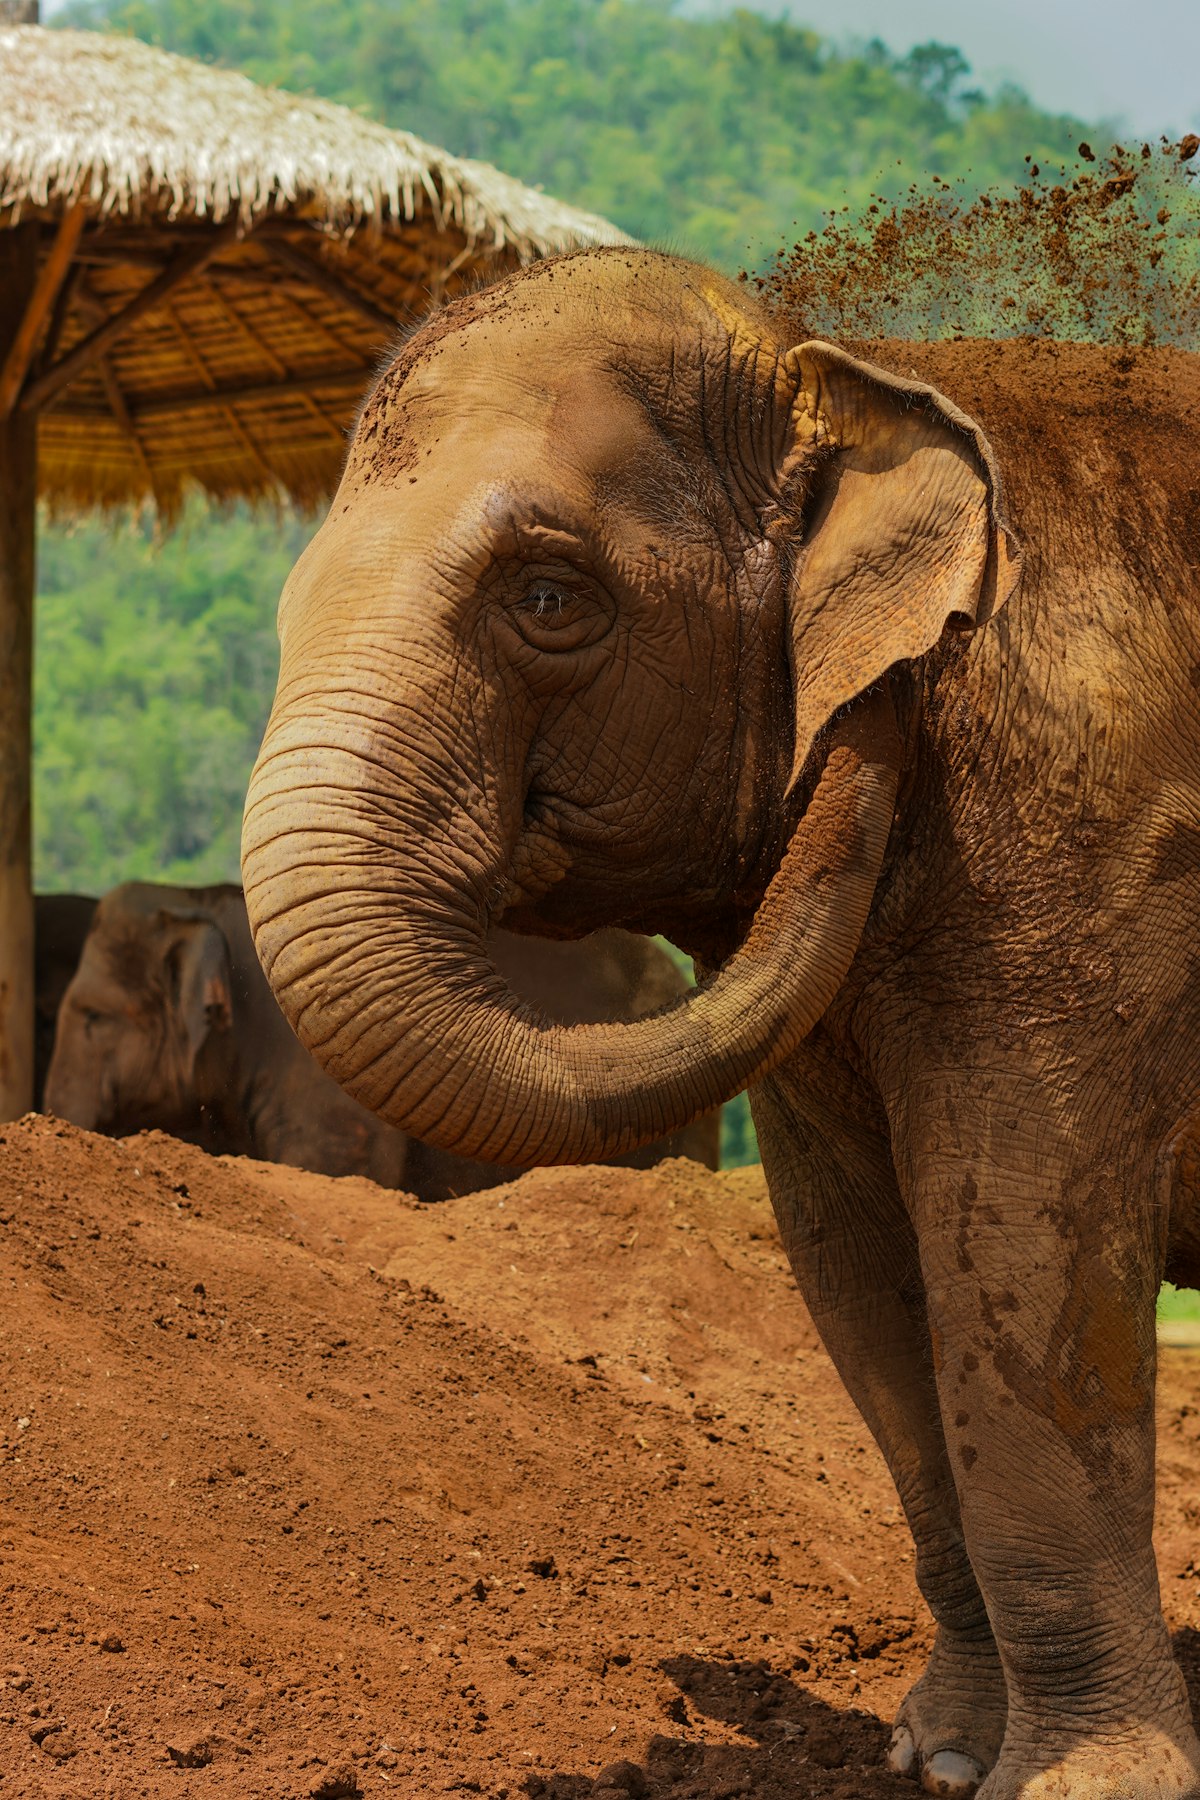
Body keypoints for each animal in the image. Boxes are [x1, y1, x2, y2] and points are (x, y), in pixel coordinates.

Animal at [241, 244, 1200, 1798]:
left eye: (549, 598)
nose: (867, 722)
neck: (857, 372)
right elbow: (861, 1276)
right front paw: (936, 1757)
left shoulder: (1096, 846)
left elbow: (1019, 1250)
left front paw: (1079, 1788)